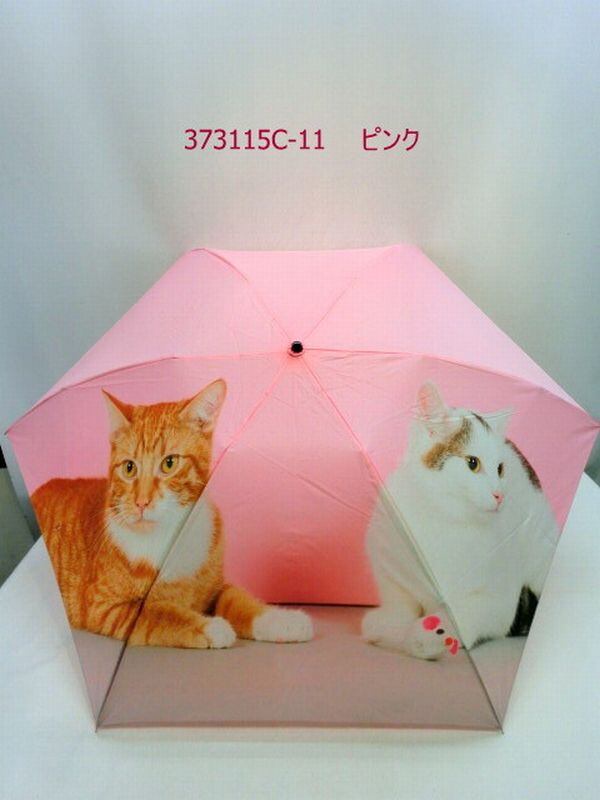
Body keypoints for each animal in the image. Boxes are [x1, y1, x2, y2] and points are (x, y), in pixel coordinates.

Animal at [31, 379, 313, 649]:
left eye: (169, 463)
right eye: (129, 468)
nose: (141, 502)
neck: (172, 534)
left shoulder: (215, 588)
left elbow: (240, 600)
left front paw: (282, 620)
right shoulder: (107, 609)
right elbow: (159, 614)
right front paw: (211, 627)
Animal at [362, 381, 558, 660]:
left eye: (500, 469)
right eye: (472, 463)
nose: (499, 495)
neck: (442, 517)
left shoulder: (501, 601)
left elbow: (462, 615)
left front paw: (428, 634)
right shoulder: (388, 563)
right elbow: (399, 602)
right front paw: (389, 624)